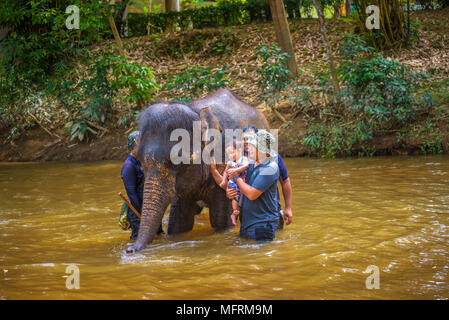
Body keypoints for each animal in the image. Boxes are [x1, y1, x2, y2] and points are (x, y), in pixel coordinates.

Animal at [124, 88, 268, 252]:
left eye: (176, 160)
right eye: (141, 161)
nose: (130, 250)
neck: (195, 112)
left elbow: (221, 221)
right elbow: (179, 223)